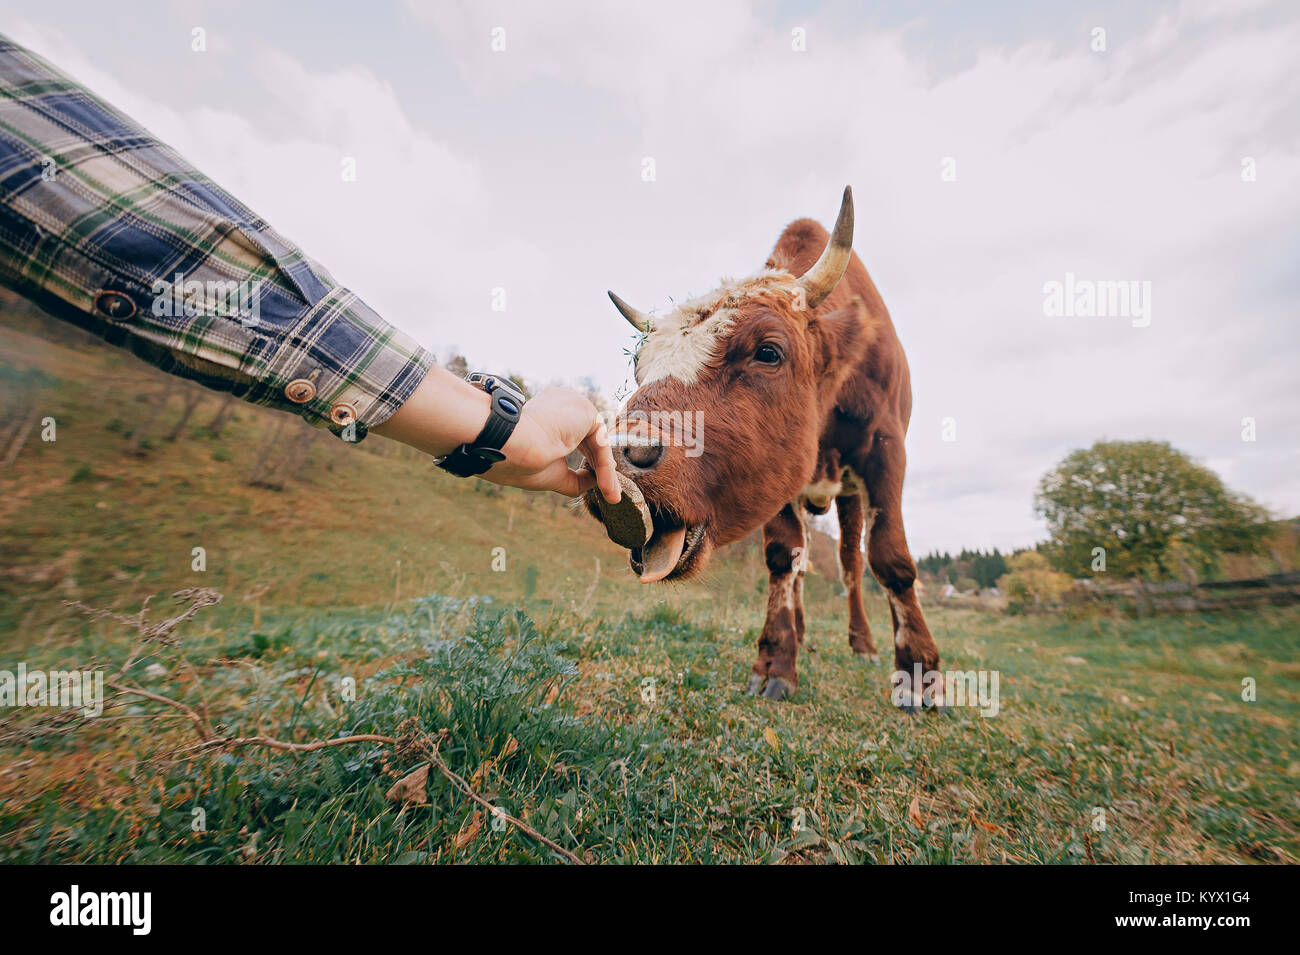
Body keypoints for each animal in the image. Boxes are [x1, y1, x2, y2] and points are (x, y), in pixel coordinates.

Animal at [595, 188, 941, 712]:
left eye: (769, 352)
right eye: (639, 365)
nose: (617, 458)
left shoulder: (887, 450)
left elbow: (890, 558)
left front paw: (919, 674)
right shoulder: (775, 474)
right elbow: (783, 557)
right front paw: (777, 661)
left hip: (849, 496)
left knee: (851, 564)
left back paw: (862, 643)